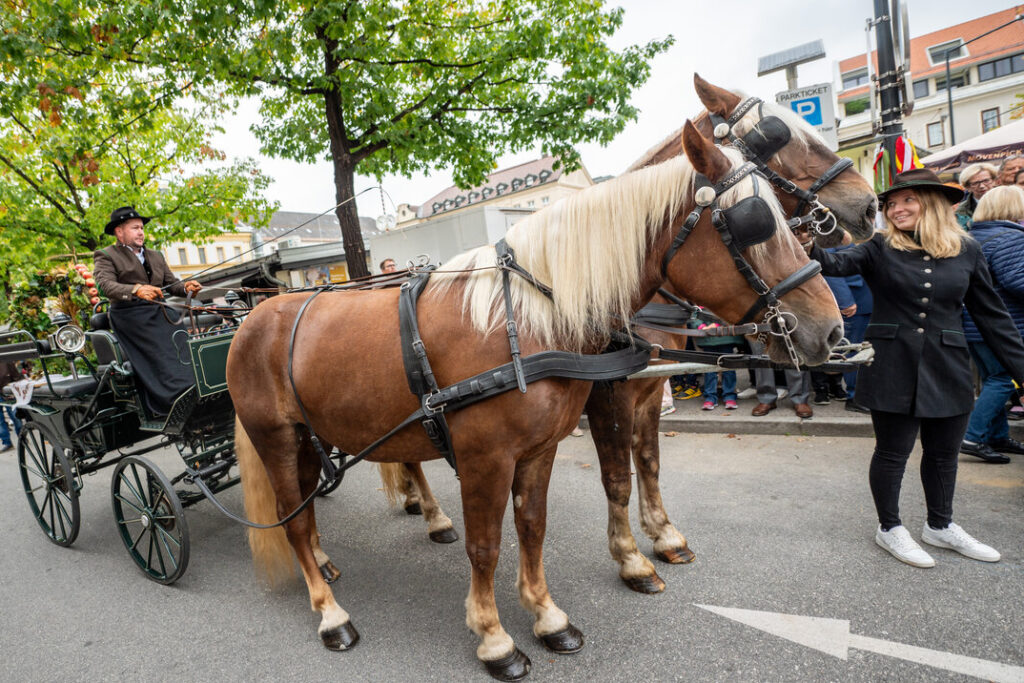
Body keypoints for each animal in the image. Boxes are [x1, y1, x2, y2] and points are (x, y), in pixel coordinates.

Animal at [234, 125, 847, 679]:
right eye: (754, 224)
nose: (832, 329)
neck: (530, 318)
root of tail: (254, 316)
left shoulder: (542, 447)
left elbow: (535, 525)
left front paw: (548, 615)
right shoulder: (489, 457)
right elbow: (488, 544)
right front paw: (494, 637)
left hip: (313, 436)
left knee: (309, 508)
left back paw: (335, 559)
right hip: (277, 439)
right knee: (294, 523)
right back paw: (330, 612)